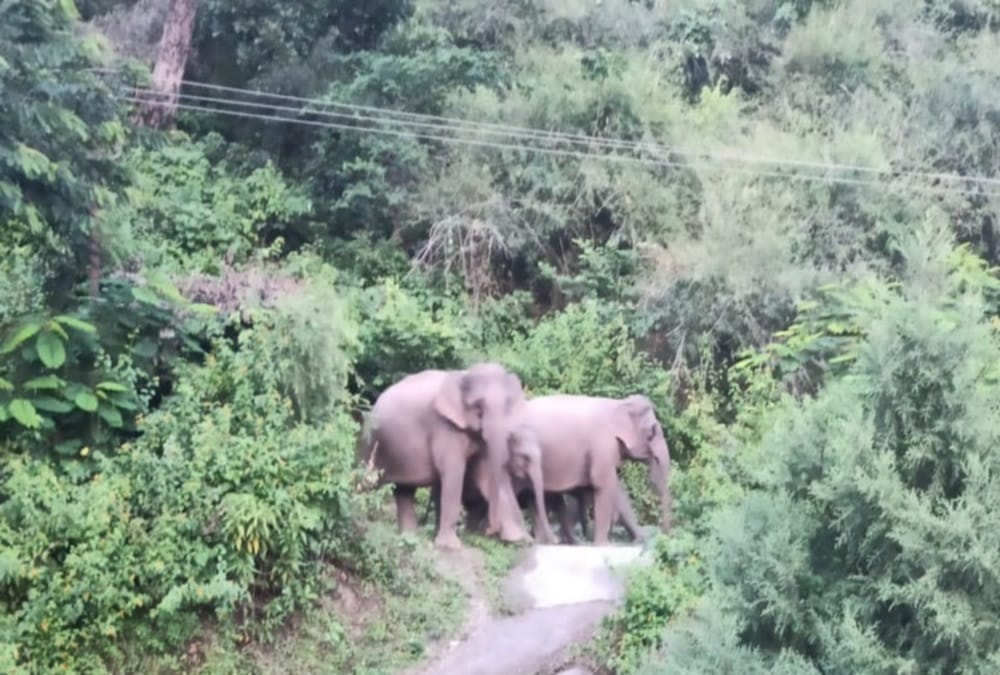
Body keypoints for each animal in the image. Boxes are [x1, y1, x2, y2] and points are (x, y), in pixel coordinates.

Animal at [357, 363, 531, 549]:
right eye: (477, 406)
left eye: (508, 405)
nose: (490, 531)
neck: (464, 374)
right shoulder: (445, 427)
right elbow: (454, 472)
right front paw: (450, 546)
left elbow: (484, 474)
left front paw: (517, 539)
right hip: (370, 442)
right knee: (366, 482)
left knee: (404, 490)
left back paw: (410, 536)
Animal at [518, 393, 672, 545]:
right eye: (652, 433)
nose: (664, 535)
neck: (617, 404)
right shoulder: (601, 446)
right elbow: (603, 485)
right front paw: (603, 545)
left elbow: (616, 489)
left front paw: (639, 539)